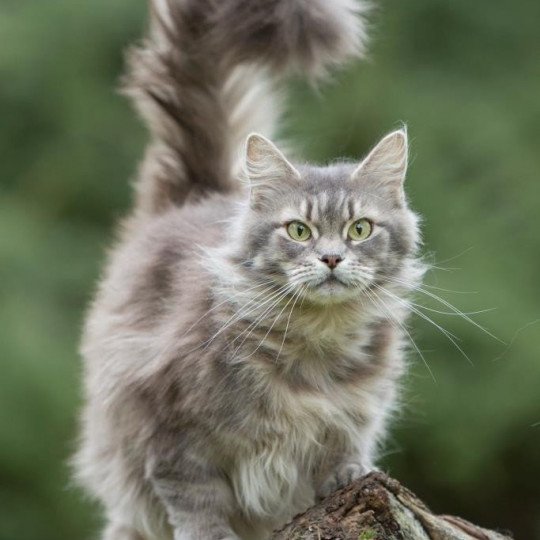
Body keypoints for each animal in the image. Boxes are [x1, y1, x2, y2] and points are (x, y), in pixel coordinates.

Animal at [73, 1, 426, 540]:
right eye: (299, 231)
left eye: (359, 229)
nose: (331, 258)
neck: (316, 349)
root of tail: (197, 195)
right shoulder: (169, 427)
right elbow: (195, 497)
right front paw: (210, 533)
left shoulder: (357, 411)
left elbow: (345, 446)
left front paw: (346, 473)